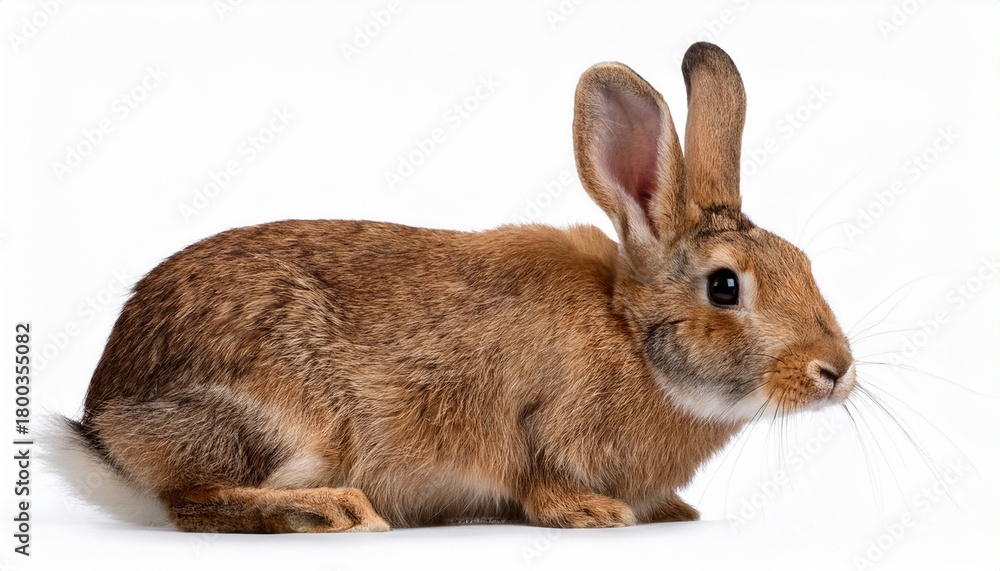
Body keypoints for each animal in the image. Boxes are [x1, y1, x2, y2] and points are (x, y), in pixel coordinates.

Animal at [52, 42, 855, 533]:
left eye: (804, 262)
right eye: (725, 287)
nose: (837, 371)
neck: (630, 336)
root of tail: (108, 428)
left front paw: (673, 513)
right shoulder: (533, 427)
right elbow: (538, 479)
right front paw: (597, 514)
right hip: (283, 419)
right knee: (194, 500)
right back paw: (333, 512)